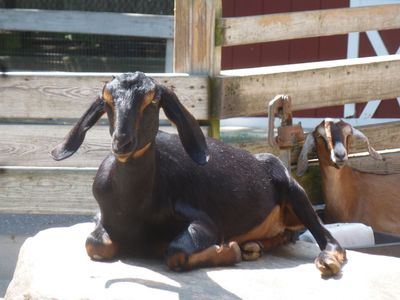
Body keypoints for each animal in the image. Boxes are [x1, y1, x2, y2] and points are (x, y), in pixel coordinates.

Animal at [51, 71, 346, 276]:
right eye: (106, 101)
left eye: (152, 100)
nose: (122, 143)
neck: (133, 206)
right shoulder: (100, 217)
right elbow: (94, 244)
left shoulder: (204, 221)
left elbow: (176, 252)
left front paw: (228, 250)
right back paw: (254, 246)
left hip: (292, 188)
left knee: (327, 236)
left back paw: (326, 259)